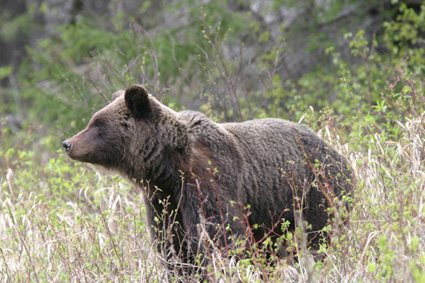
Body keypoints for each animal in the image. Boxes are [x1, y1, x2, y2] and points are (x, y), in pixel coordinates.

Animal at [63, 85, 352, 272]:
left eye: (98, 124)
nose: (67, 143)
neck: (168, 165)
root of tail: (336, 152)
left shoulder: (208, 179)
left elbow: (222, 235)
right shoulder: (162, 197)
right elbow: (172, 242)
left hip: (314, 192)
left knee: (318, 237)